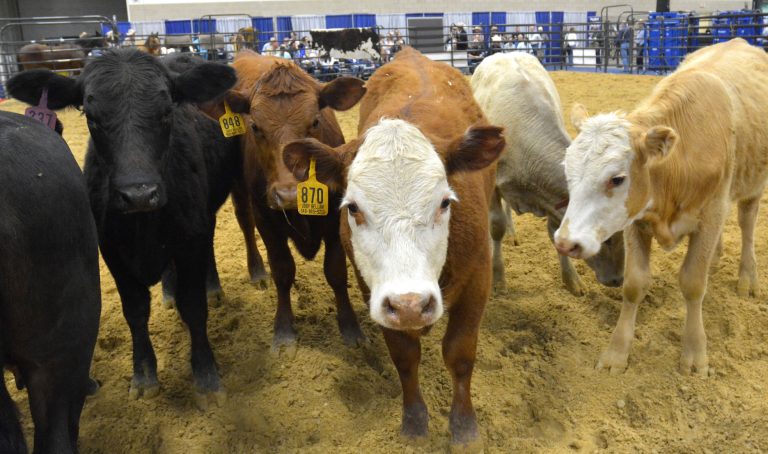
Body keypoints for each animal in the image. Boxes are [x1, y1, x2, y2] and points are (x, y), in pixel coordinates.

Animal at [8, 48, 244, 408]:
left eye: (166, 111)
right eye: (90, 116)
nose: (139, 194)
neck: (142, 225)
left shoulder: (191, 238)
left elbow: (194, 306)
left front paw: (206, 377)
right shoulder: (112, 252)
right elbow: (135, 311)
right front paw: (144, 375)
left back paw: (212, 287)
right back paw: (168, 292)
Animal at [223, 50, 367, 349]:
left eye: (315, 121)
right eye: (255, 126)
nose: (288, 194)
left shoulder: (334, 219)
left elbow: (336, 272)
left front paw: (350, 327)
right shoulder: (266, 220)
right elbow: (282, 270)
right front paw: (283, 329)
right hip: (239, 188)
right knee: (245, 222)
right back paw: (257, 271)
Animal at [283, 47, 505, 446]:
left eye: (445, 202)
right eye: (353, 208)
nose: (410, 305)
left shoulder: (478, 276)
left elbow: (460, 353)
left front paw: (464, 425)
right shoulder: (373, 288)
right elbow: (404, 356)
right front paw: (414, 421)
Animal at [471, 52, 624, 296]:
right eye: (605, 238)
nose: (618, 279)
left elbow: (554, 232)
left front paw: (571, 279)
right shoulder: (494, 183)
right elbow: (496, 226)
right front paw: (498, 278)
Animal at [553, 39, 768, 375]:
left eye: (617, 178)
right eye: (567, 170)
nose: (565, 242)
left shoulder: (710, 214)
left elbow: (693, 283)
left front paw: (694, 354)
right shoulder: (635, 221)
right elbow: (634, 284)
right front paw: (617, 353)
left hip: (753, 185)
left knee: (747, 224)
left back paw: (748, 278)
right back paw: (716, 259)